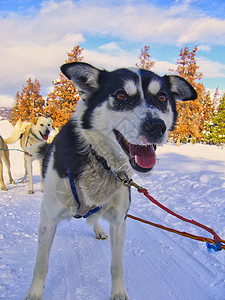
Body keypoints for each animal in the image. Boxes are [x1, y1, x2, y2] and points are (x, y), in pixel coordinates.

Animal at [25, 62, 197, 298]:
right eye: (121, 95)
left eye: (162, 97)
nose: (156, 126)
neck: (100, 161)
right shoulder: (48, 219)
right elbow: (41, 264)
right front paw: (34, 294)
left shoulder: (119, 221)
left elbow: (117, 265)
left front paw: (118, 293)